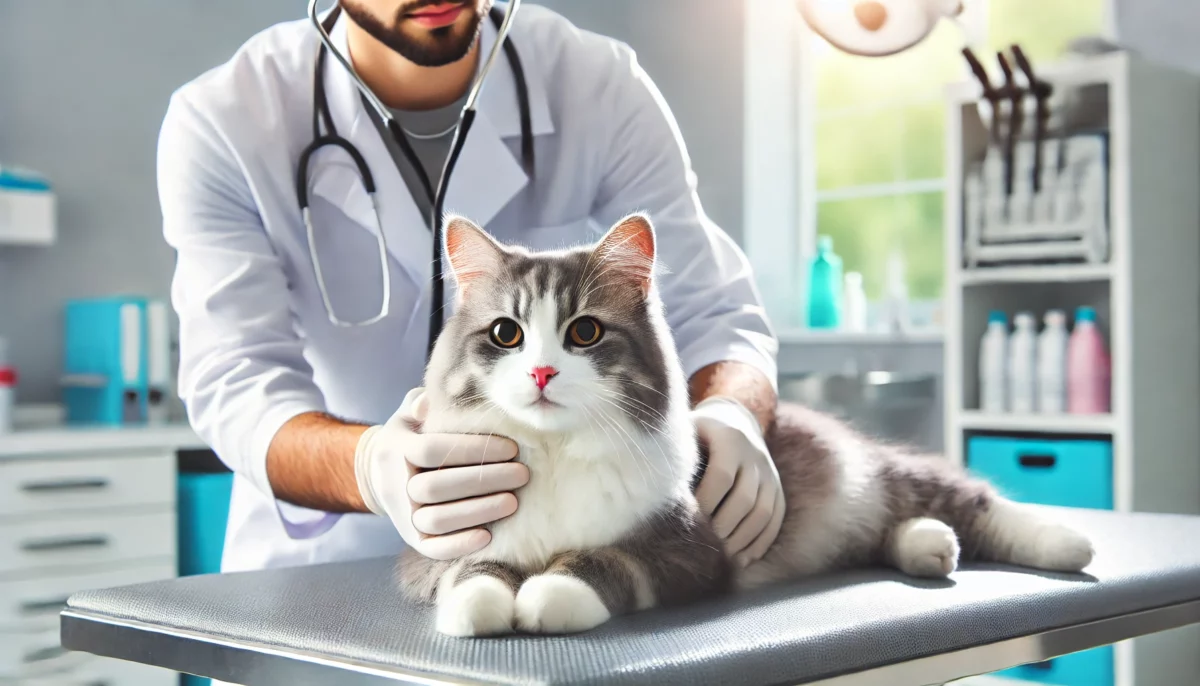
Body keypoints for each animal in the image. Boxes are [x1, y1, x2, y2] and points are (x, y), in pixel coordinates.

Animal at [398, 214, 1094, 638]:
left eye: (585, 332)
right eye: (506, 334)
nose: (542, 372)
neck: (557, 451)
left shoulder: (687, 548)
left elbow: (606, 561)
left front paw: (548, 595)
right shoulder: (440, 550)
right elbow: (471, 575)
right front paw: (482, 606)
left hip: (890, 475)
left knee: (974, 501)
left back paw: (1068, 543)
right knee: (903, 530)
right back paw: (929, 545)